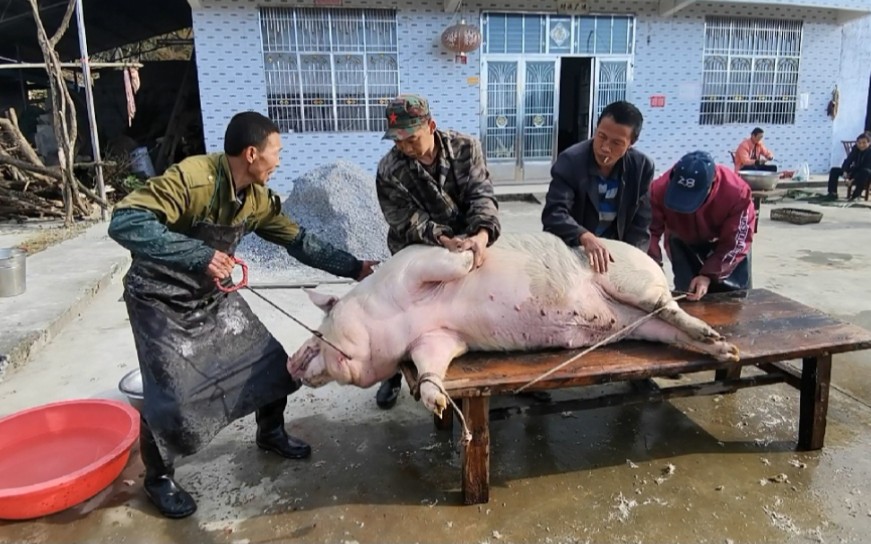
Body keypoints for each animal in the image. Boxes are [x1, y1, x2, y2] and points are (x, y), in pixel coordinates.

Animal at [290, 233, 740, 416]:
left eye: (319, 330)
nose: (291, 365)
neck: (391, 322)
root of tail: (657, 268)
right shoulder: (436, 338)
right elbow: (431, 367)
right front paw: (437, 404)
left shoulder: (415, 269)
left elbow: (451, 263)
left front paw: (470, 254)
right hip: (637, 325)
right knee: (669, 326)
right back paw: (726, 349)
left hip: (630, 282)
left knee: (666, 305)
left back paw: (718, 339)